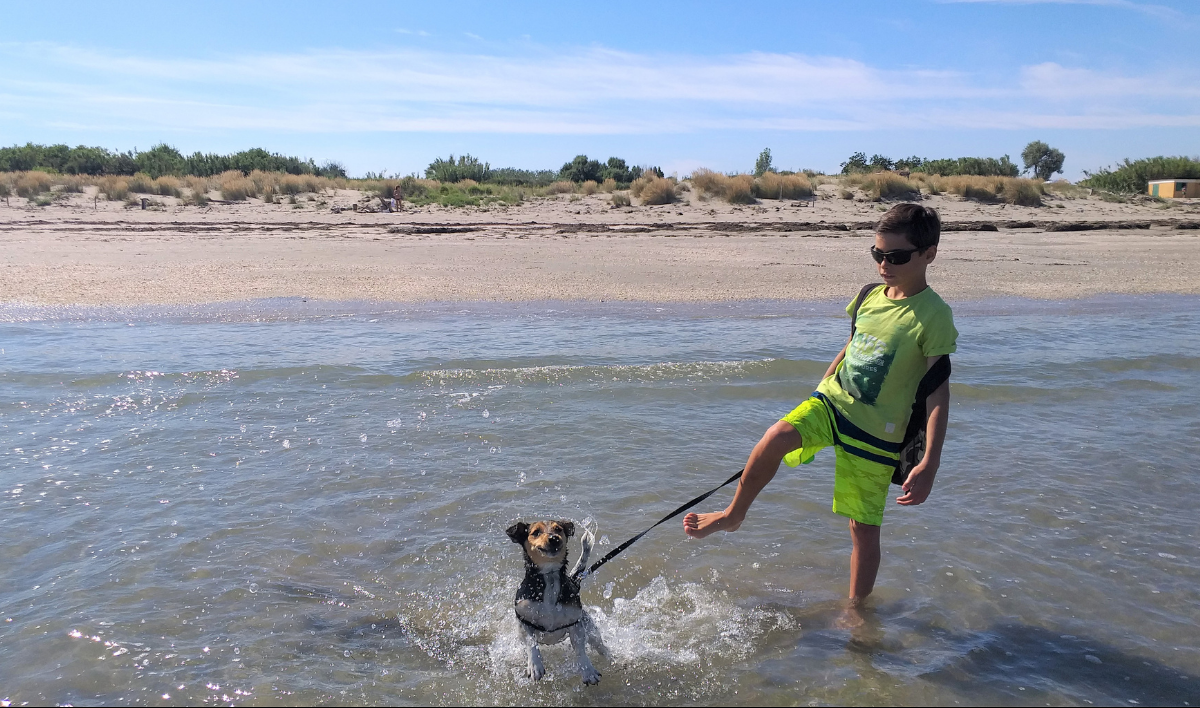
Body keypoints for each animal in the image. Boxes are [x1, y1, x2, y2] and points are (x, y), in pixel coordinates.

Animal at [506, 518, 609, 686]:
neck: (550, 577)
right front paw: (535, 666)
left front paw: (588, 670)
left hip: (590, 628)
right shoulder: (524, 622)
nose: (554, 538)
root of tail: (575, 580)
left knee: (599, 644)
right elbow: (531, 643)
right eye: (536, 532)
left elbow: (580, 649)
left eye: (558, 529)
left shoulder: (575, 624)